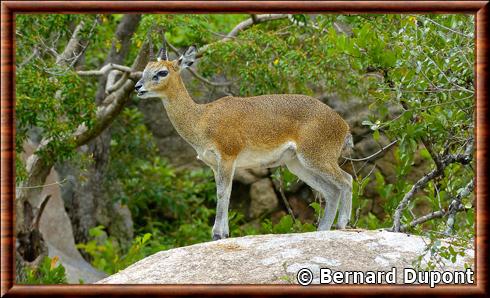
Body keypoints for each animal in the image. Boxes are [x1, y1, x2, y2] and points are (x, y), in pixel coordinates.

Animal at [135, 40, 352, 240]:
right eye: (144, 70)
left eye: (162, 72)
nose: (138, 87)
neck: (201, 118)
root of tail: (343, 124)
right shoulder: (215, 165)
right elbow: (226, 192)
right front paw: (223, 233)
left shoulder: (227, 157)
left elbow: (222, 193)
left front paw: (217, 234)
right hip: (297, 164)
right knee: (332, 191)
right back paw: (323, 230)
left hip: (315, 157)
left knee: (346, 180)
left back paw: (342, 224)